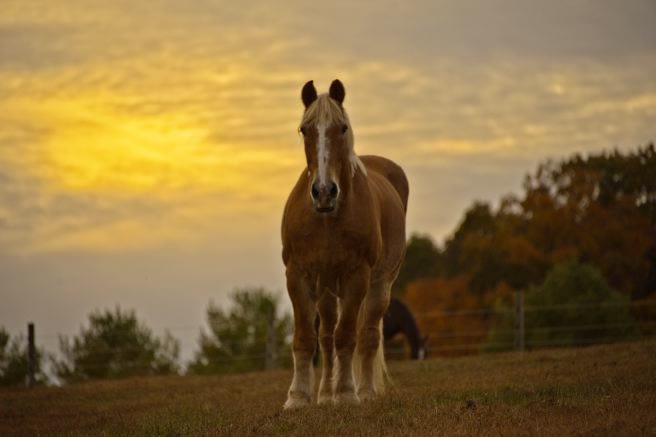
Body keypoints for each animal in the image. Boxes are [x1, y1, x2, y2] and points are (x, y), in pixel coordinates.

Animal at [281, 79, 408, 409]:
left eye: (341, 128)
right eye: (304, 129)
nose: (324, 191)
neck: (328, 218)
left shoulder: (356, 277)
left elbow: (348, 336)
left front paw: (347, 393)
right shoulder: (298, 275)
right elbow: (306, 338)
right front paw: (298, 398)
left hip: (378, 286)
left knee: (367, 335)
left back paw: (364, 391)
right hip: (327, 290)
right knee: (326, 336)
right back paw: (326, 394)